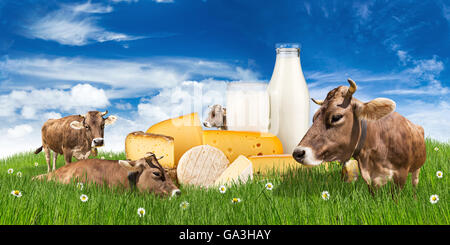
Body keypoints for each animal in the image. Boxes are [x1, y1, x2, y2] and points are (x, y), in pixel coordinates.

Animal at [294, 78, 428, 195]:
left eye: (336, 117)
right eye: (314, 117)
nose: (297, 153)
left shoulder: (401, 174)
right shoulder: (370, 177)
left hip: (417, 167)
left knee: (415, 183)